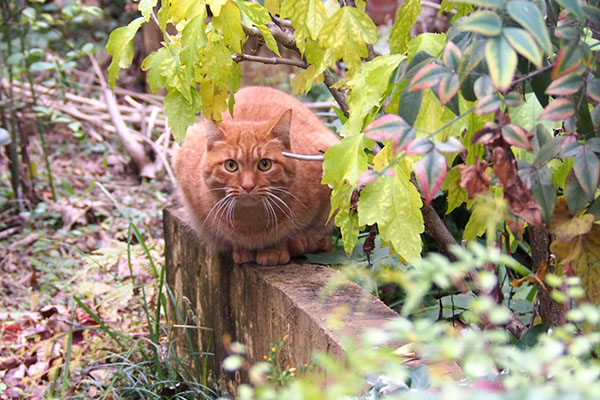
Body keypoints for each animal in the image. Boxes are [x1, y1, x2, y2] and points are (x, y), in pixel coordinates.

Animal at [172, 86, 342, 264]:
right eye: (231, 165)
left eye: (264, 164)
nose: (248, 185)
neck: (252, 226)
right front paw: (242, 250)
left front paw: (275, 250)